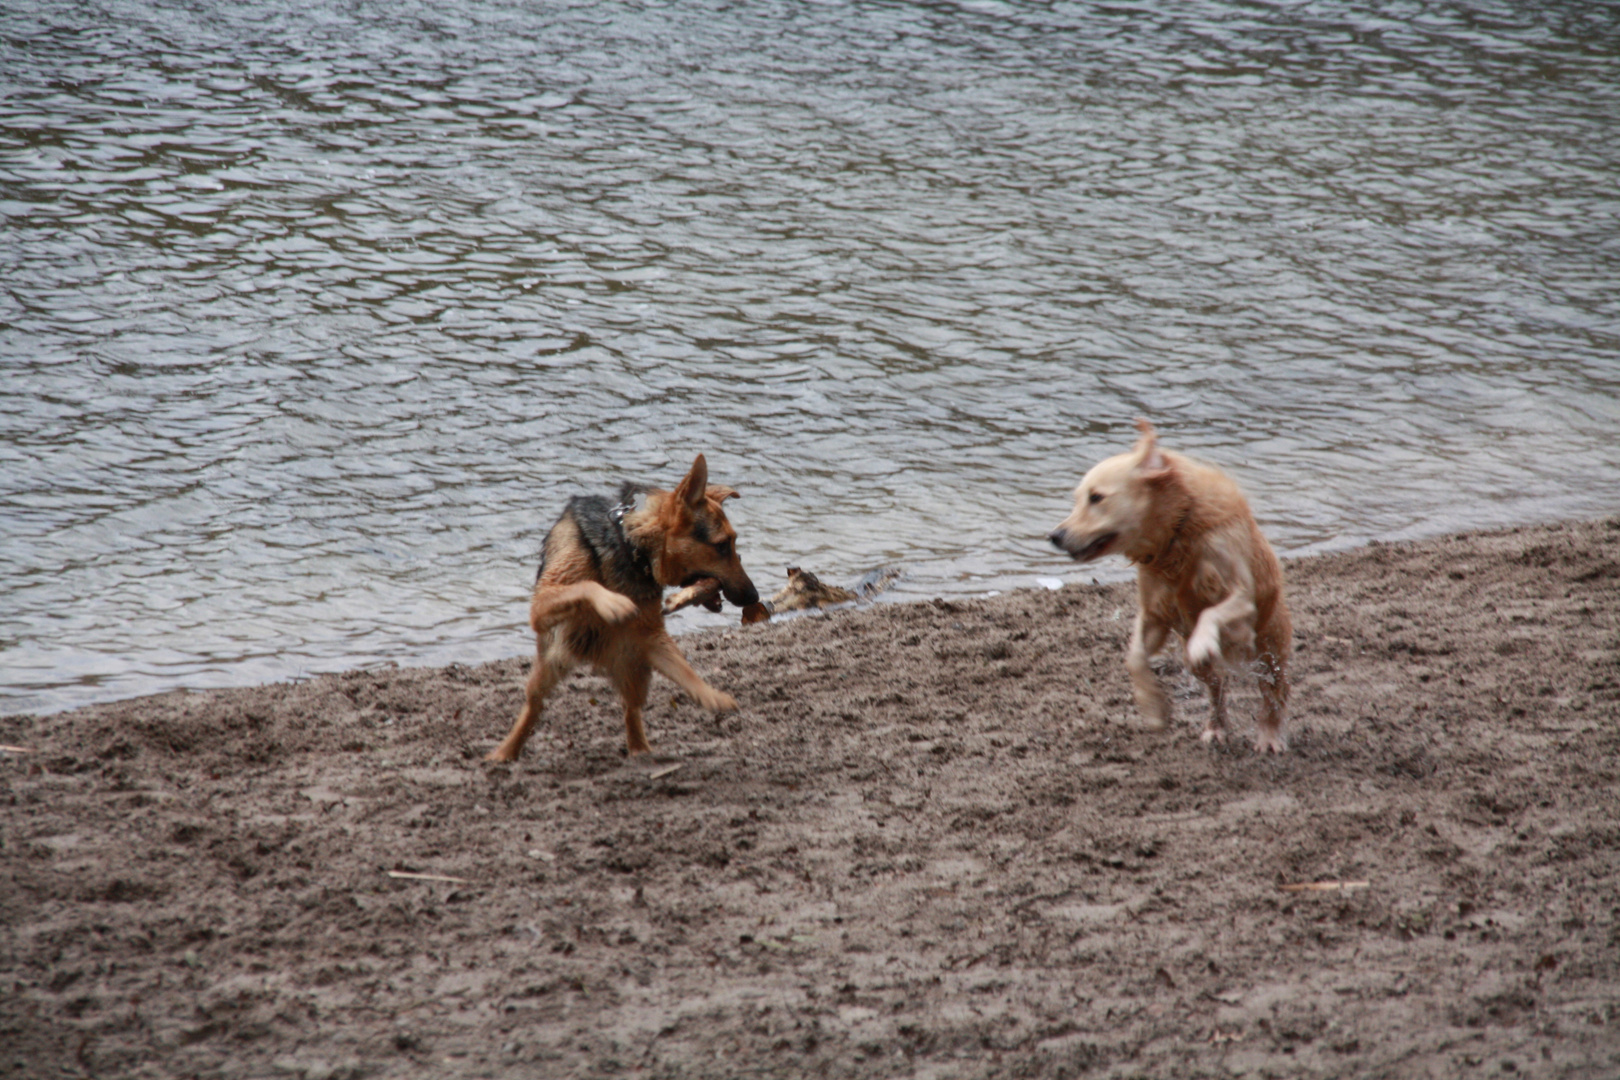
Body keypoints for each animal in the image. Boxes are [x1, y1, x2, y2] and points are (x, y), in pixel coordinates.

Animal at [486, 453, 758, 761]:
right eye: (723, 546)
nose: (754, 596)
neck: (630, 547)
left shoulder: (652, 636)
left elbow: (686, 670)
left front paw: (712, 696)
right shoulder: (542, 604)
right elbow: (586, 586)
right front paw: (613, 603)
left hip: (634, 668)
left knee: (632, 709)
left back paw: (640, 749)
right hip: (548, 668)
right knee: (533, 708)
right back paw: (504, 752)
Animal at [1049, 420, 1289, 751]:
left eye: (1096, 497)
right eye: (1077, 498)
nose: (1055, 536)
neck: (1177, 531)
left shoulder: (1243, 598)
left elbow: (1211, 613)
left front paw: (1202, 641)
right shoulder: (1154, 613)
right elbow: (1134, 657)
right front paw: (1154, 709)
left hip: (1270, 644)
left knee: (1273, 690)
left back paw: (1269, 735)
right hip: (1204, 668)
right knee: (1217, 686)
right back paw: (1216, 727)